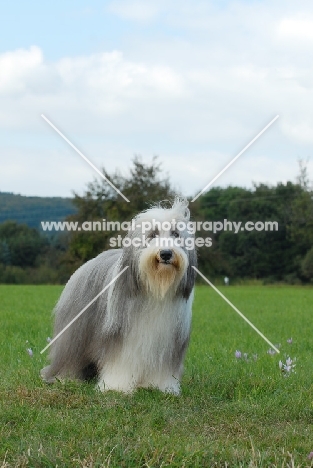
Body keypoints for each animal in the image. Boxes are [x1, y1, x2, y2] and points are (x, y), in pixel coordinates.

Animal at [41, 197, 196, 394]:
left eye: (175, 234)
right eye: (152, 234)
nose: (166, 253)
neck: (155, 288)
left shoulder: (168, 338)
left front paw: (159, 385)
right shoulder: (120, 336)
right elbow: (120, 361)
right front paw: (116, 386)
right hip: (75, 333)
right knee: (70, 355)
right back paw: (65, 377)